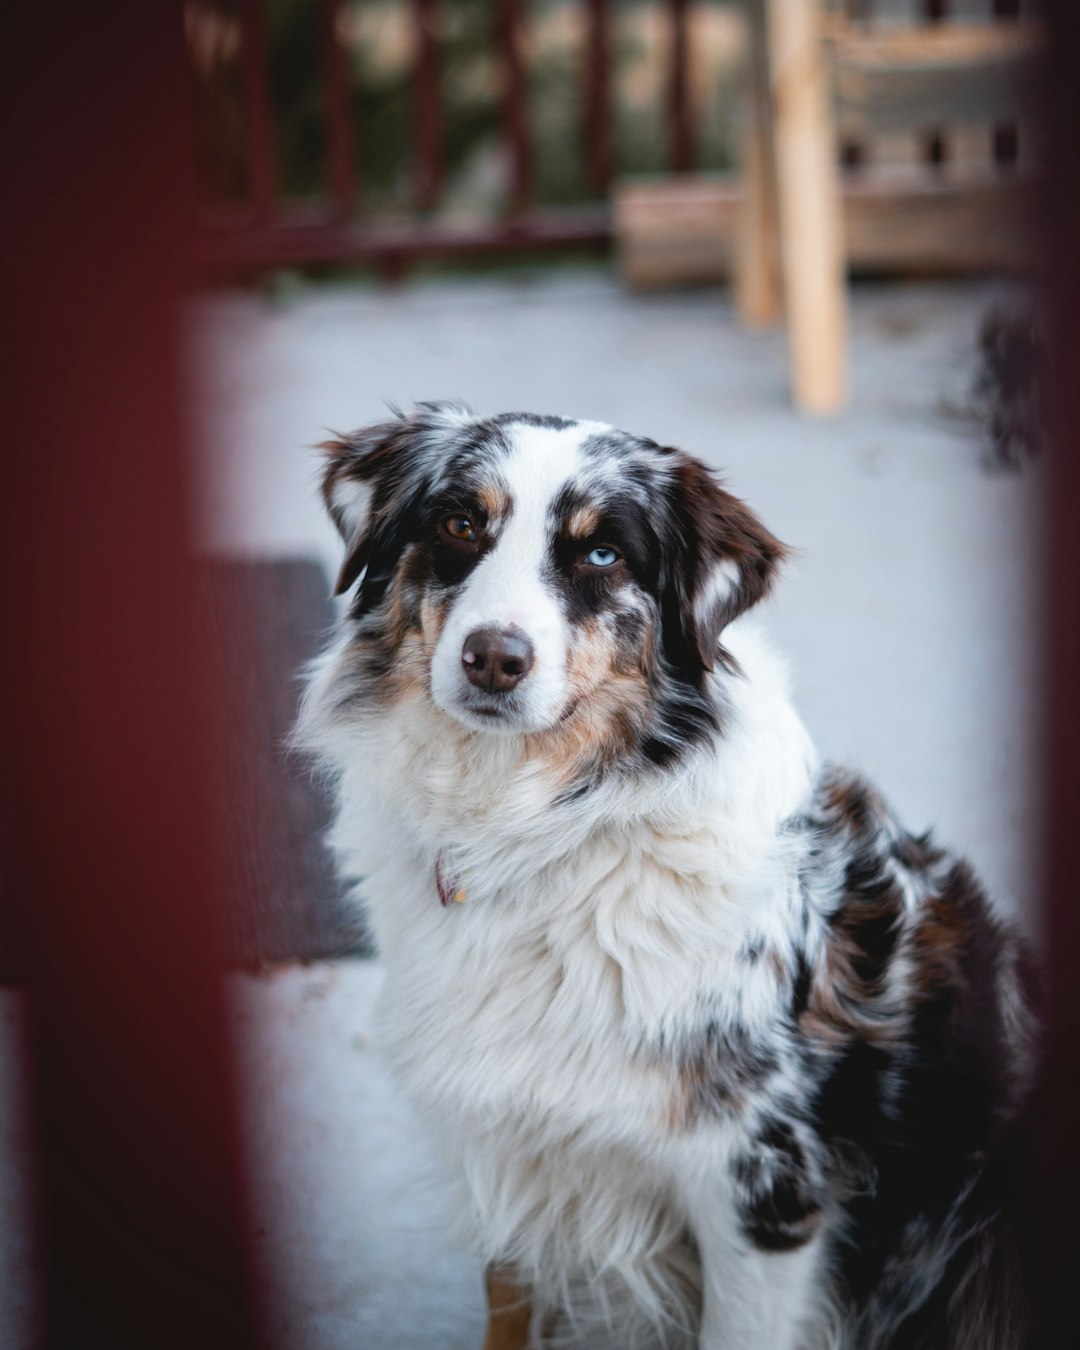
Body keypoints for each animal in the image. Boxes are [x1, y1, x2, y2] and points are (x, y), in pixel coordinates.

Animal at [295, 402, 1036, 1350]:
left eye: (603, 554)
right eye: (459, 524)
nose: (493, 658)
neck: (543, 825)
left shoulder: (761, 1191)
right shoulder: (512, 1152)